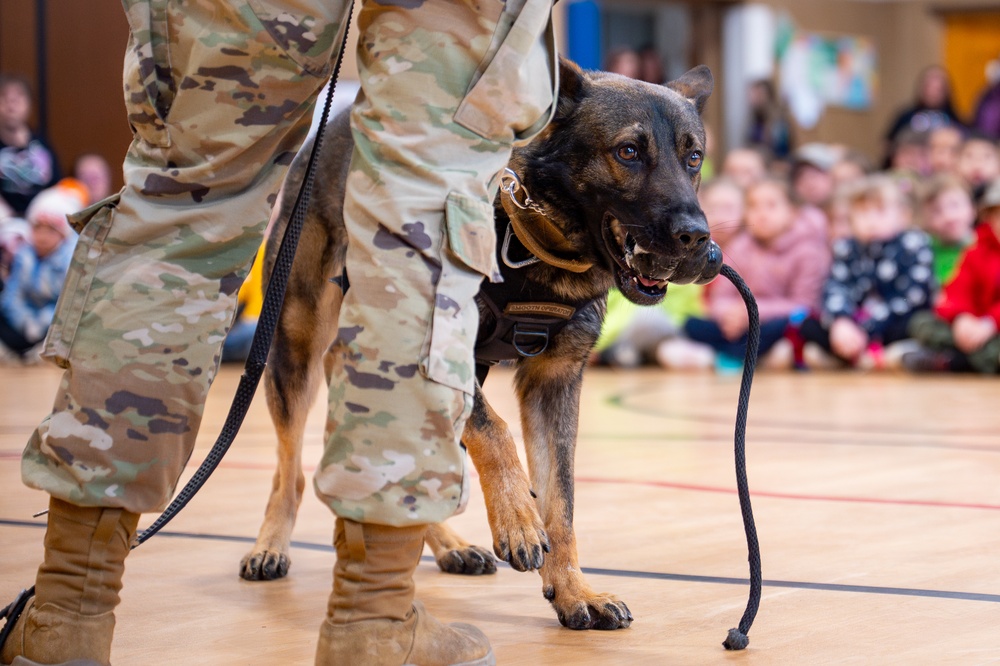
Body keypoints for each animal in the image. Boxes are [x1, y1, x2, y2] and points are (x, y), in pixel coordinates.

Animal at [240, 59, 728, 632]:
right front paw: (518, 518)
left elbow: (561, 502)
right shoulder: (450, 362)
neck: (527, 233)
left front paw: (573, 591)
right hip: (293, 350)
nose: (697, 239)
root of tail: (337, 122)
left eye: (693, 158)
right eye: (628, 151)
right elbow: (494, 431)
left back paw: (448, 544)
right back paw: (271, 545)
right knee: (291, 469)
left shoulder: (554, 386)